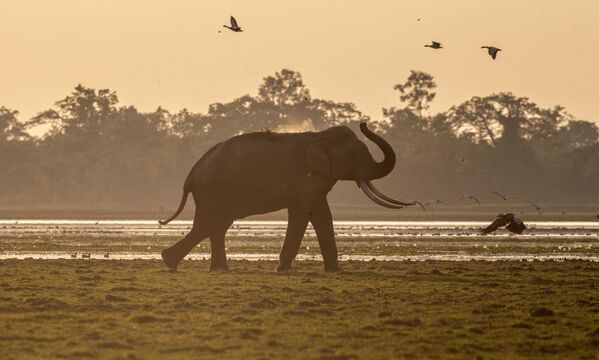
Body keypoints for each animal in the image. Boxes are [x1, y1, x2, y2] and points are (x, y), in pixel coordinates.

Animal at [161, 122, 422, 272]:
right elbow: (316, 211)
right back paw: (210, 268)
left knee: (209, 225)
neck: (319, 136)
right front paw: (334, 271)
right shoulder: (306, 179)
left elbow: (300, 212)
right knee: (214, 225)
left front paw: (283, 268)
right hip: (215, 190)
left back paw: (175, 262)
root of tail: (193, 171)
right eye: (353, 156)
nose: (363, 122)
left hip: (210, 193)